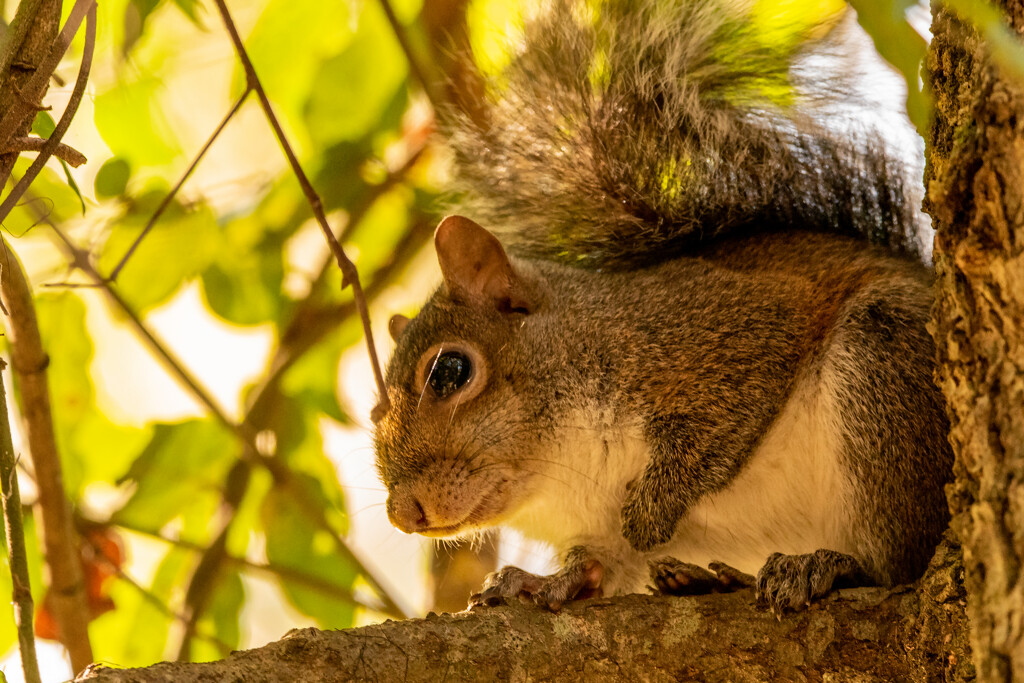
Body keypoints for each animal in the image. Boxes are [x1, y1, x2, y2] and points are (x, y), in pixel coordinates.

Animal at [368, 0, 950, 614]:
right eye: (372, 414)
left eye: (450, 371)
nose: (404, 514)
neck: (561, 469)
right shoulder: (595, 527)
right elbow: (597, 563)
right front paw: (545, 581)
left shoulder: (725, 325)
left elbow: (727, 411)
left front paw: (652, 508)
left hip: (883, 371)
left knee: (900, 562)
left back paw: (827, 565)